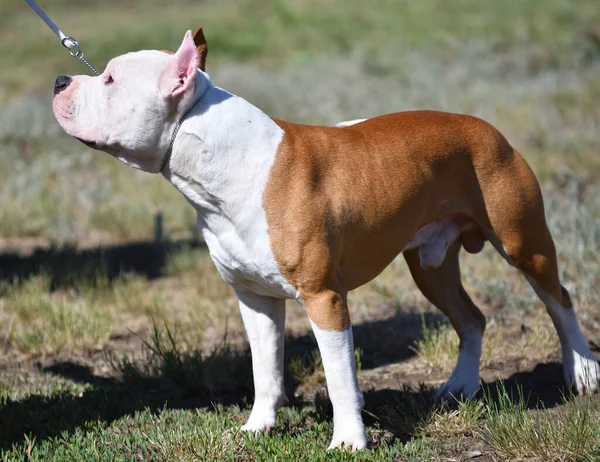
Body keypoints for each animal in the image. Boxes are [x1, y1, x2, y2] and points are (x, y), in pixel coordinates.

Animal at [52, 30, 600, 450]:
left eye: (110, 79)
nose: (60, 79)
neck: (222, 160)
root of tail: (486, 127)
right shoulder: (255, 300)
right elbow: (265, 370)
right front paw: (258, 427)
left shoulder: (325, 299)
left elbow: (340, 380)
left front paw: (349, 441)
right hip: (430, 264)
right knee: (471, 318)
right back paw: (460, 386)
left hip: (522, 241)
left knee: (560, 300)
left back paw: (582, 372)